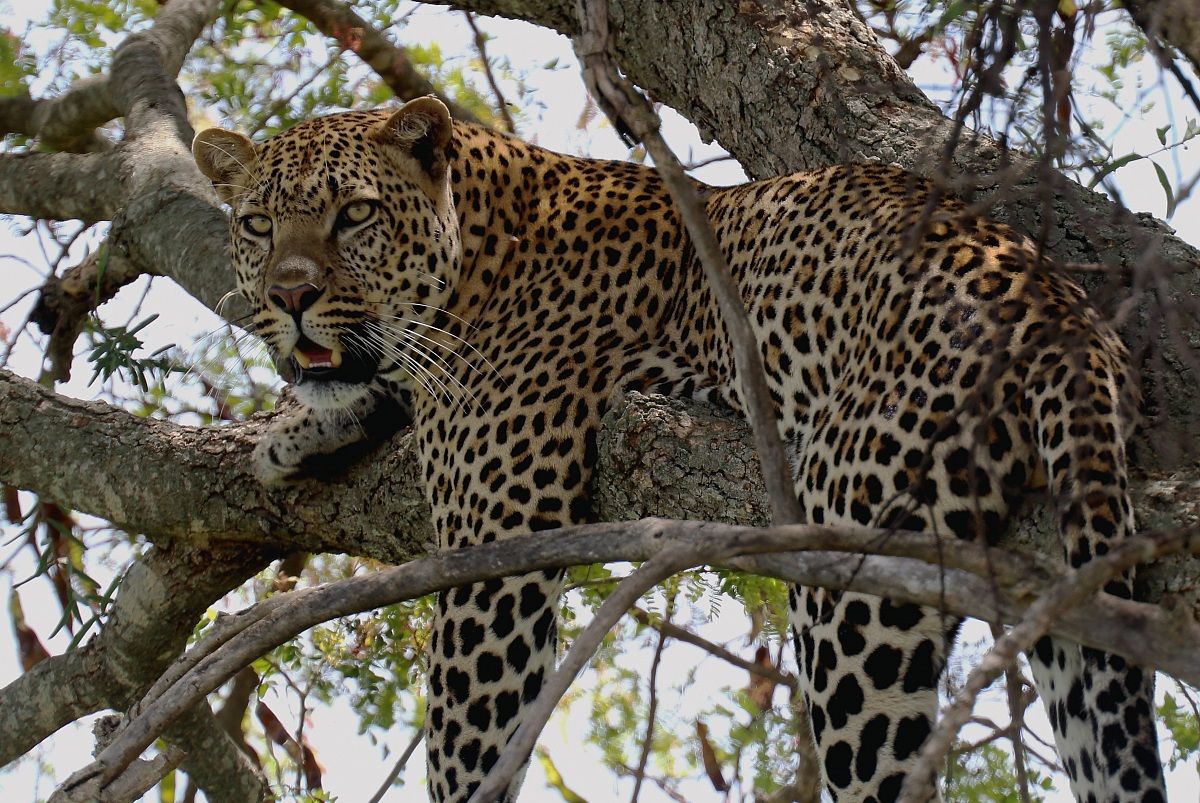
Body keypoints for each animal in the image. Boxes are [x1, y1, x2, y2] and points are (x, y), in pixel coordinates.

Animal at [193, 96, 1166, 802]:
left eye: (355, 214)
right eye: (255, 224)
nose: (290, 295)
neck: (479, 242)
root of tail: (1060, 311)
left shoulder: (494, 545)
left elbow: (467, 750)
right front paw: (297, 429)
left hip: (857, 562)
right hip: (1068, 592)